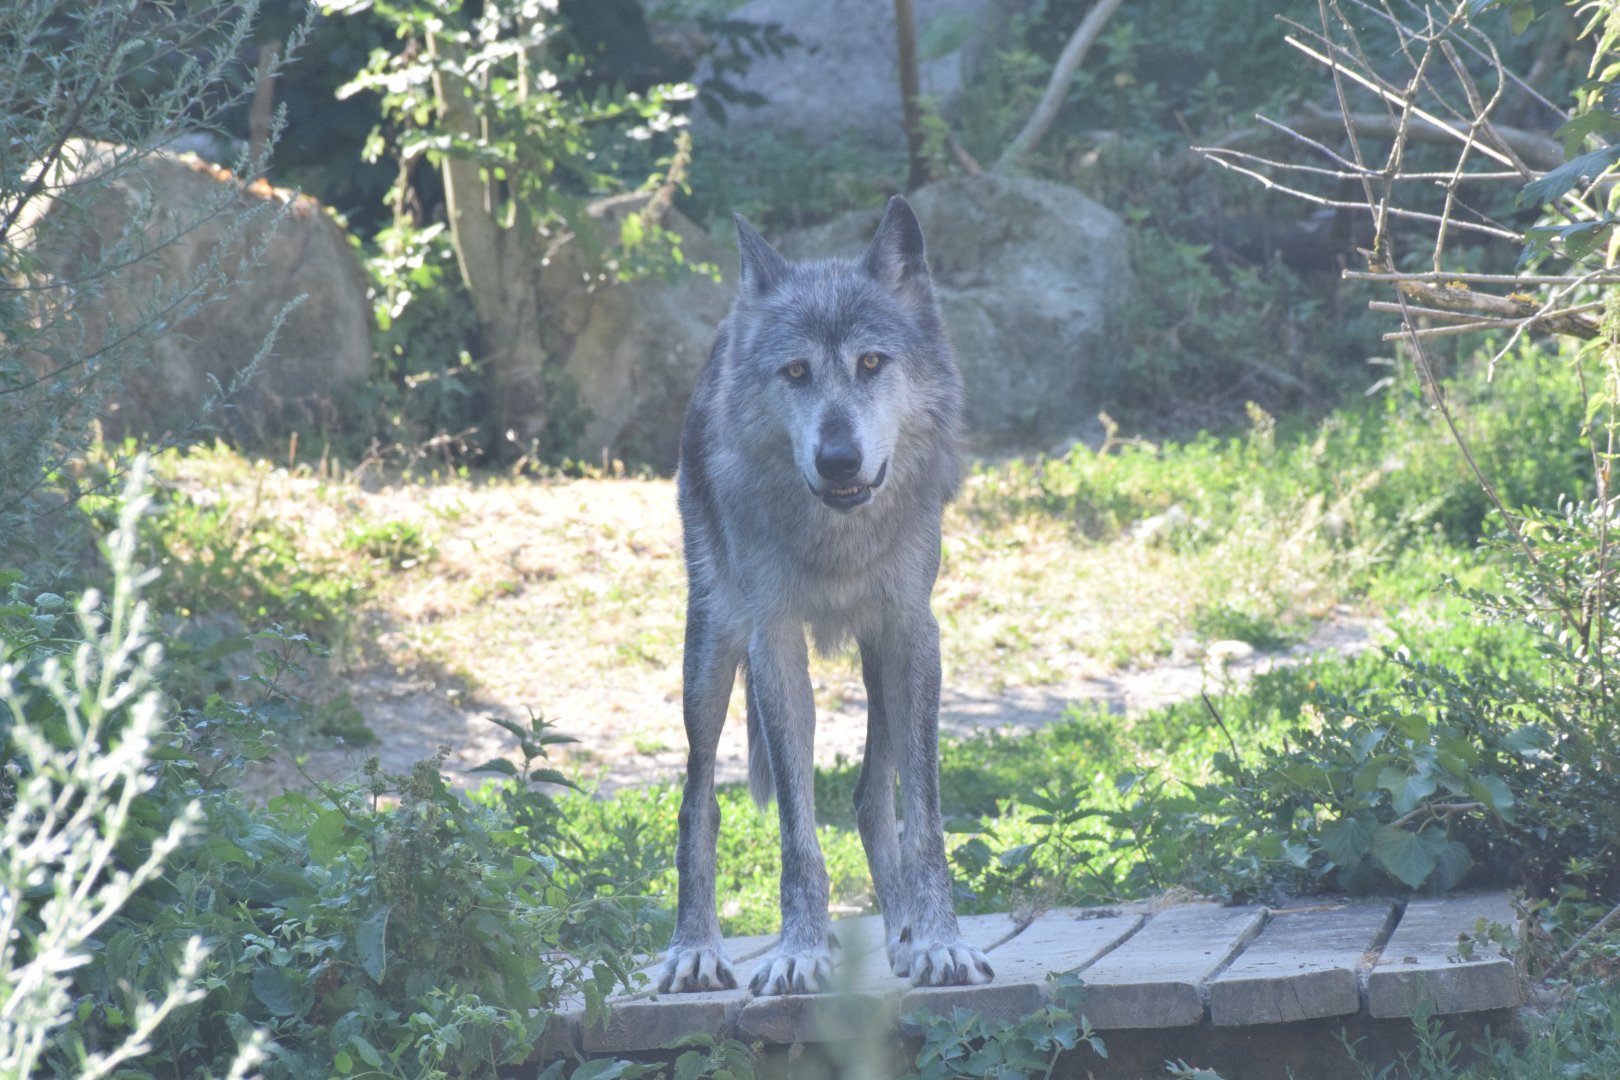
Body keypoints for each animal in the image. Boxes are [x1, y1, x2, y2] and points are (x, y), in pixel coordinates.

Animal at [657, 197, 993, 997]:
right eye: (796, 372)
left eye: (871, 362)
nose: (838, 458)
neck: (838, 536)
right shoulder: (773, 642)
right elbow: (796, 832)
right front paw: (799, 952)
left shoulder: (913, 632)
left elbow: (924, 820)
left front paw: (940, 943)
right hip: (711, 651)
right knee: (696, 806)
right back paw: (695, 950)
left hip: (882, 662)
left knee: (873, 798)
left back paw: (904, 936)